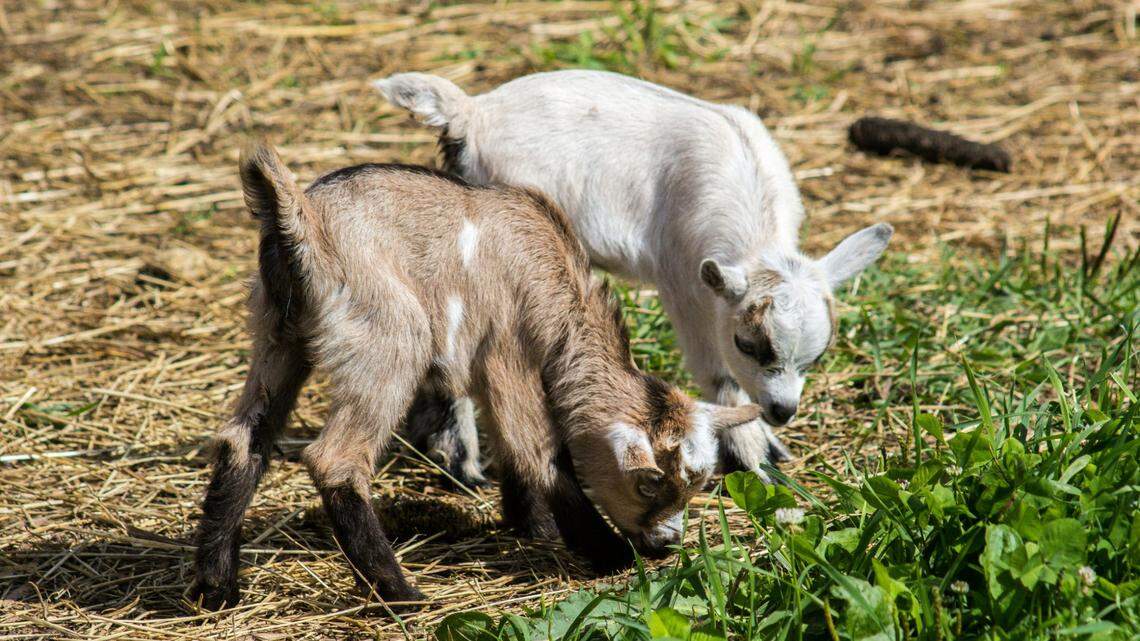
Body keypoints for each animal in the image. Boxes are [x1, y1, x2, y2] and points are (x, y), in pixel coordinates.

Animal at [190, 141, 760, 610]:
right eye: (648, 483)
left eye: (697, 484)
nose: (666, 544)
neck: (552, 274)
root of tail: (302, 220)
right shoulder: (507, 349)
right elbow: (538, 450)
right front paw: (608, 554)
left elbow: (510, 448)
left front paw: (531, 525)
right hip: (387, 340)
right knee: (335, 458)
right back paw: (400, 594)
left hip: (277, 336)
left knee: (243, 440)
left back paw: (216, 588)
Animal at [375, 70, 892, 484]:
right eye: (748, 344)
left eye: (816, 356)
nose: (784, 411)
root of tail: (471, 113)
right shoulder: (683, 278)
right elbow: (717, 372)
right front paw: (754, 458)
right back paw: (464, 460)